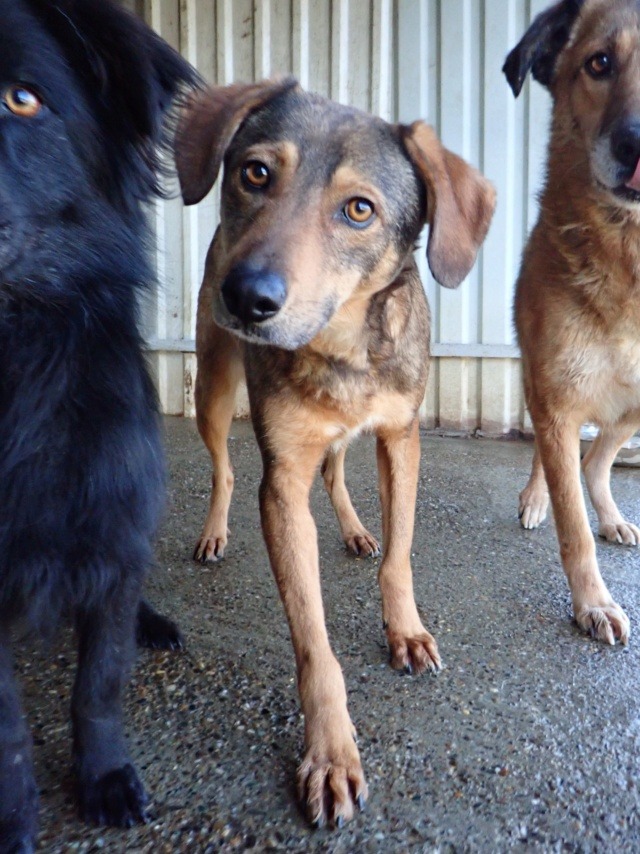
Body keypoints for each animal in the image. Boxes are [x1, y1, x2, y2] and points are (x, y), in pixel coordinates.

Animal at [174, 79, 496, 827]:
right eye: (255, 173)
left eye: (359, 210)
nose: (247, 296)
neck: (343, 346)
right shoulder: (281, 482)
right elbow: (313, 643)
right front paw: (329, 753)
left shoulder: (401, 440)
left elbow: (400, 557)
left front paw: (405, 630)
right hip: (214, 386)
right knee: (223, 468)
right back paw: (213, 532)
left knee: (337, 469)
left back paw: (353, 529)